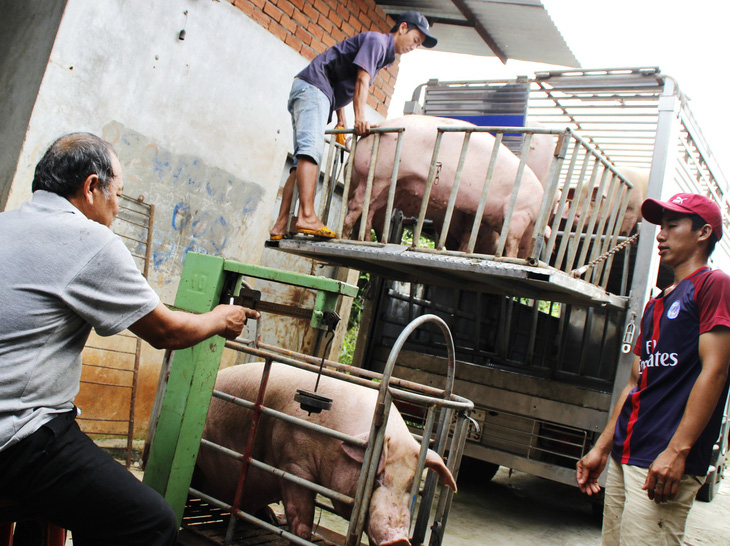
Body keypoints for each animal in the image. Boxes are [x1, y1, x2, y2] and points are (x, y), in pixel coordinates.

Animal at [193, 362, 456, 544]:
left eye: (412, 485)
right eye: (378, 478)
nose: (400, 540)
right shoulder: (294, 464)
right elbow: (301, 517)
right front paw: (301, 537)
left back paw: (269, 518)